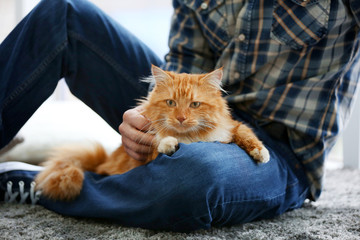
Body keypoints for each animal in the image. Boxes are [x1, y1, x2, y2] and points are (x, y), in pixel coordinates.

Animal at [35, 65, 268, 201]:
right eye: (171, 103)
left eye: (194, 104)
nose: (181, 118)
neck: (192, 138)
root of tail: (104, 160)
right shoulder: (148, 150)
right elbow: (159, 143)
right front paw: (169, 143)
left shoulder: (232, 127)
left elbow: (248, 135)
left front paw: (261, 153)